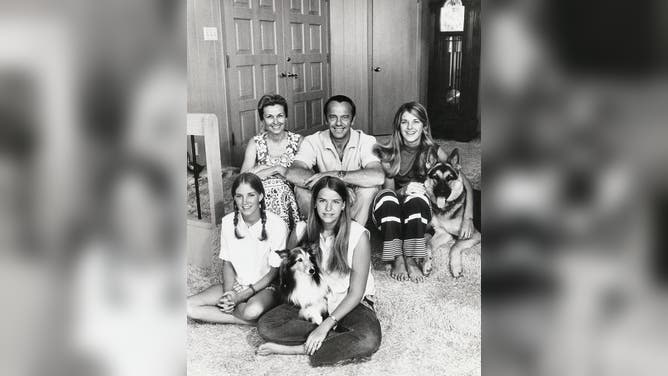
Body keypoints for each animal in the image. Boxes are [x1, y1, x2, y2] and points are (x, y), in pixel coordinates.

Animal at [422, 148, 480, 278]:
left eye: (449, 178)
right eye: (435, 177)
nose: (442, 192)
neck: (446, 209)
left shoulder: (475, 235)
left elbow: (455, 245)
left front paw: (455, 267)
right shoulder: (443, 233)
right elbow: (428, 244)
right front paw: (427, 263)